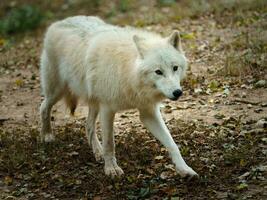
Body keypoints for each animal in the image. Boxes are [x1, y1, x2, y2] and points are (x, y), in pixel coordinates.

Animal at [39, 15, 199, 178]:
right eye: (158, 72)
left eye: (175, 68)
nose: (177, 92)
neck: (128, 72)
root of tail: (59, 22)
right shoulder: (107, 109)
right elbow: (110, 143)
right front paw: (111, 169)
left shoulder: (148, 112)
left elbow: (171, 143)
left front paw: (184, 169)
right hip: (56, 91)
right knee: (44, 107)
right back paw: (47, 135)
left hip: (93, 102)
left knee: (88, 125)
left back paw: (98, 152)